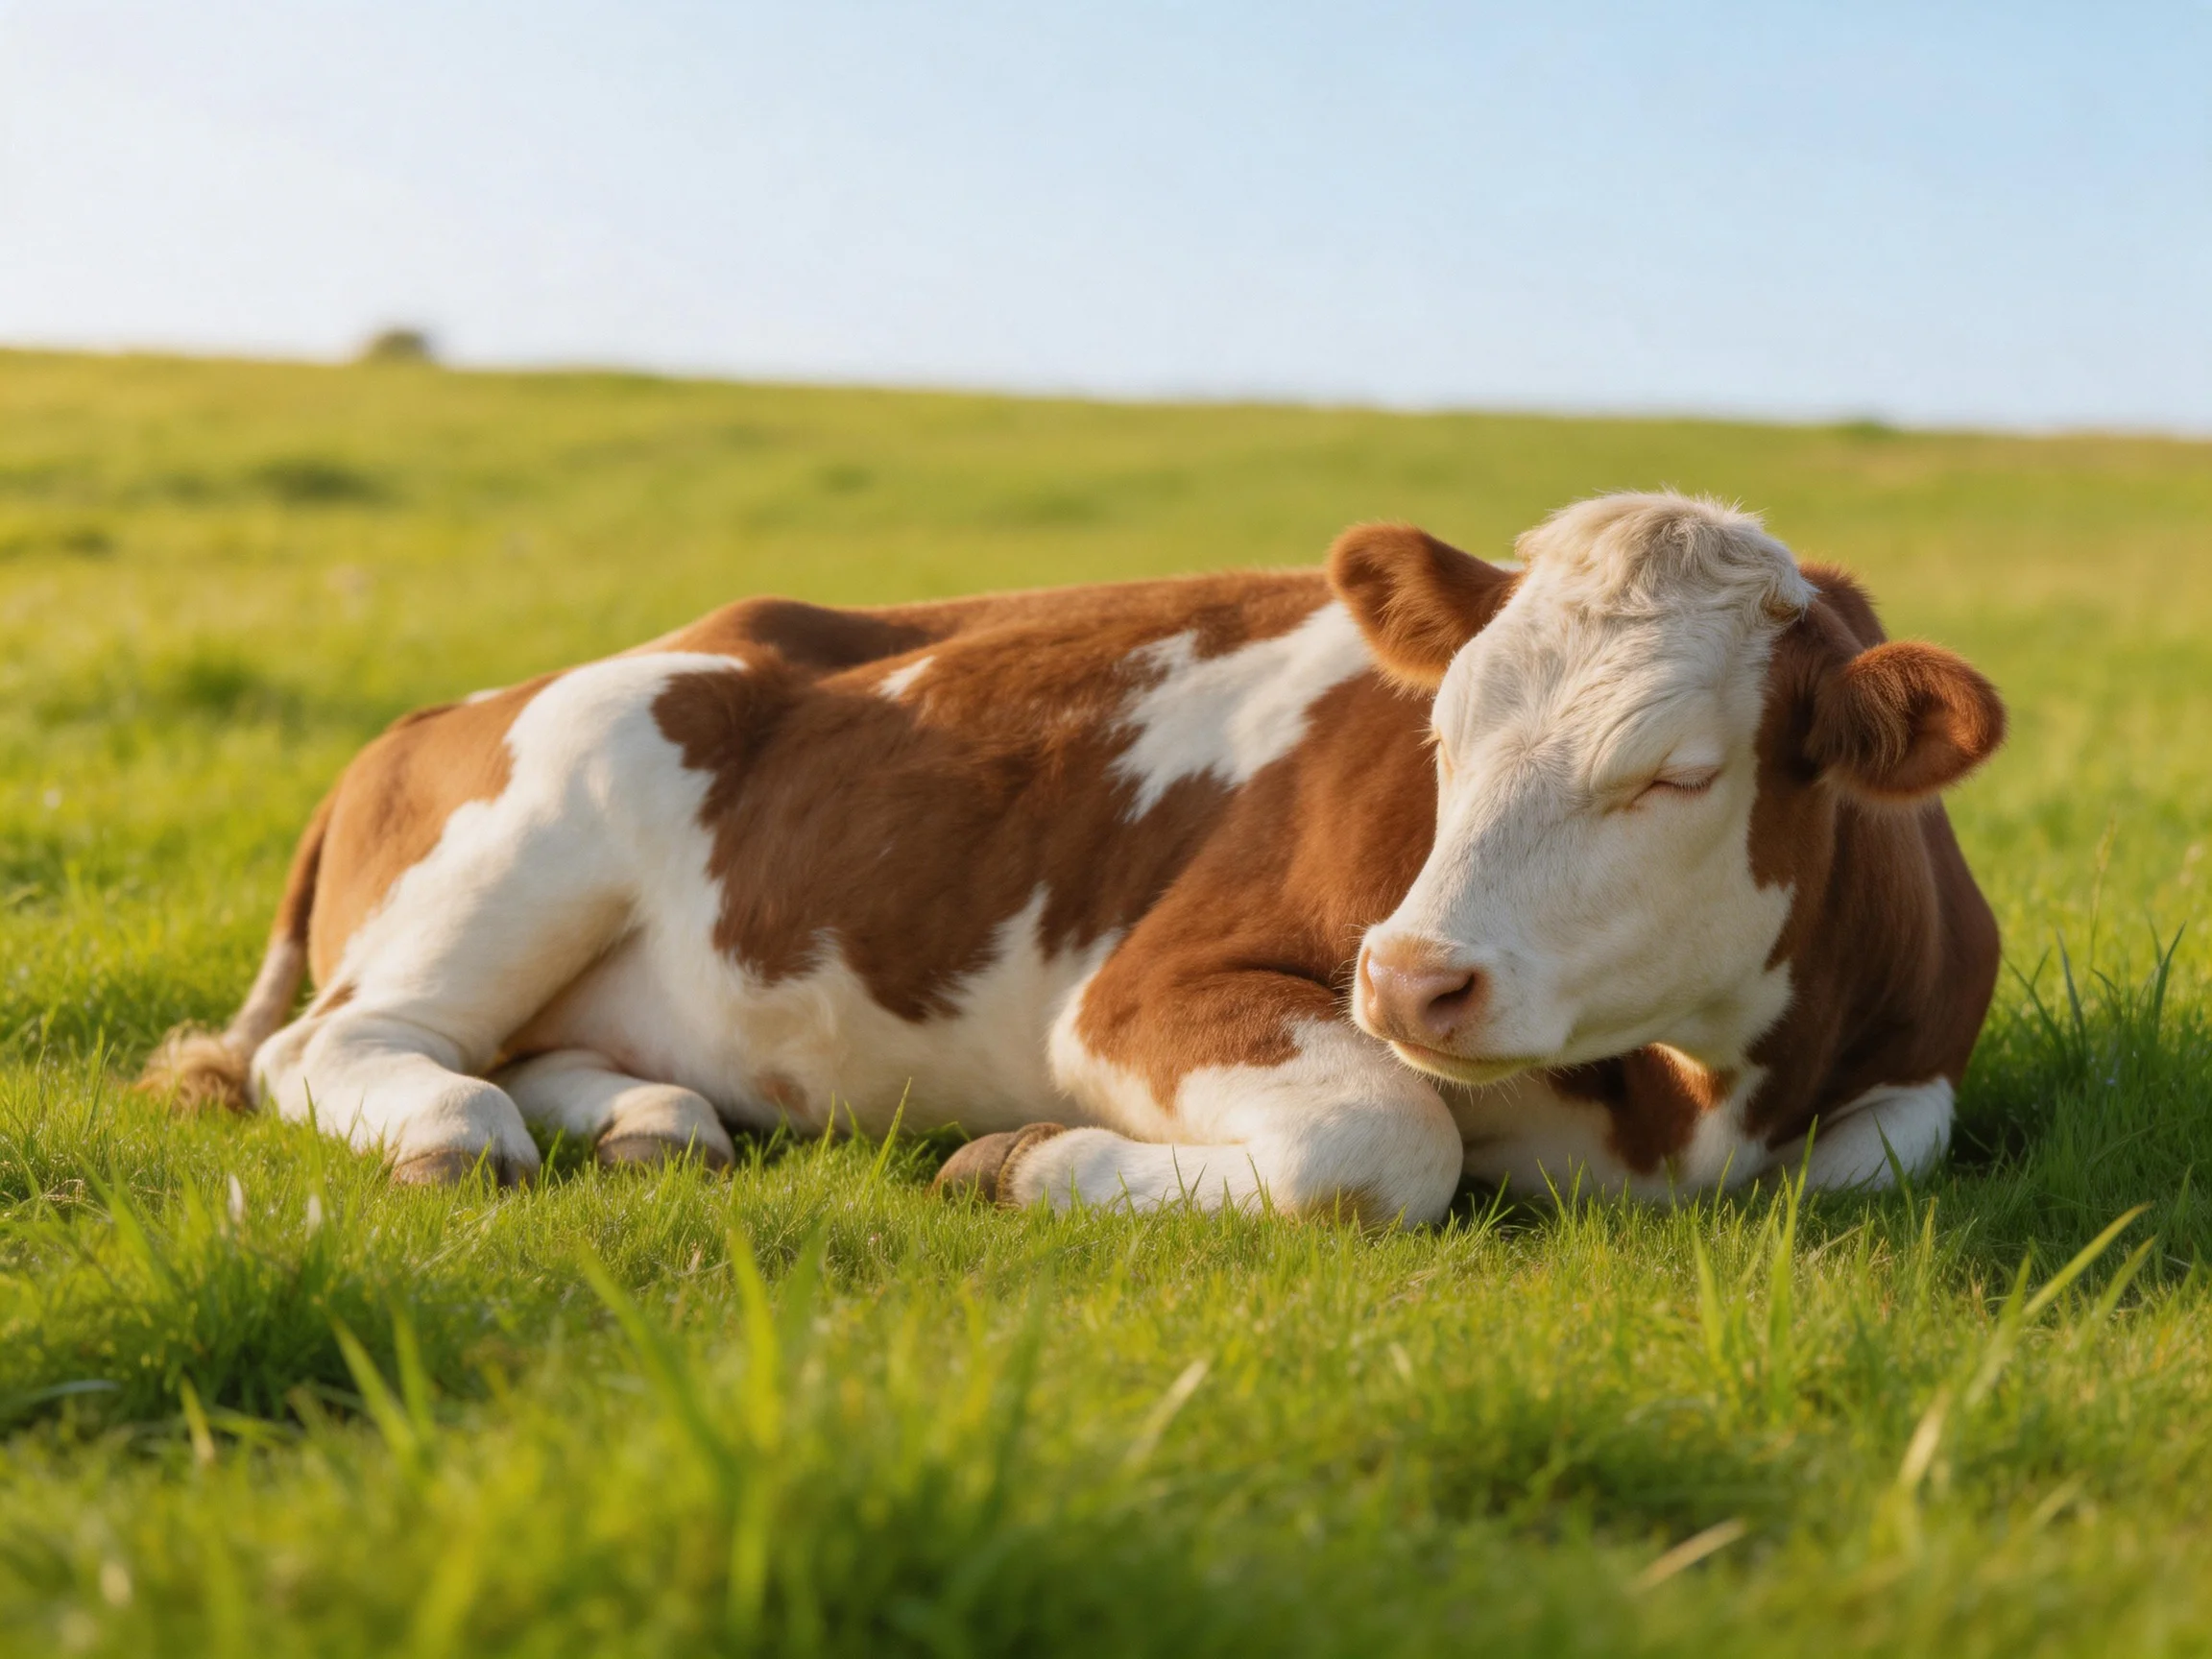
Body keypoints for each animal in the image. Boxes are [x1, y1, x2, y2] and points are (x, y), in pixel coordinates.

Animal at [140, 492, 2005, 1226]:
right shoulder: (1145, 991)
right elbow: (1379, 1143)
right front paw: (1025, 1159)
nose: (1407, 976)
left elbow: (1882, 1149)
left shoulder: (1910, 1067)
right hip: (547, 812)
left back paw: (647, 1119)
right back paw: (453, 1126)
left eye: (1677, 772)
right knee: (343, 1047)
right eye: (1445, 734)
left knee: (562, 1060)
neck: (1689, 1101)